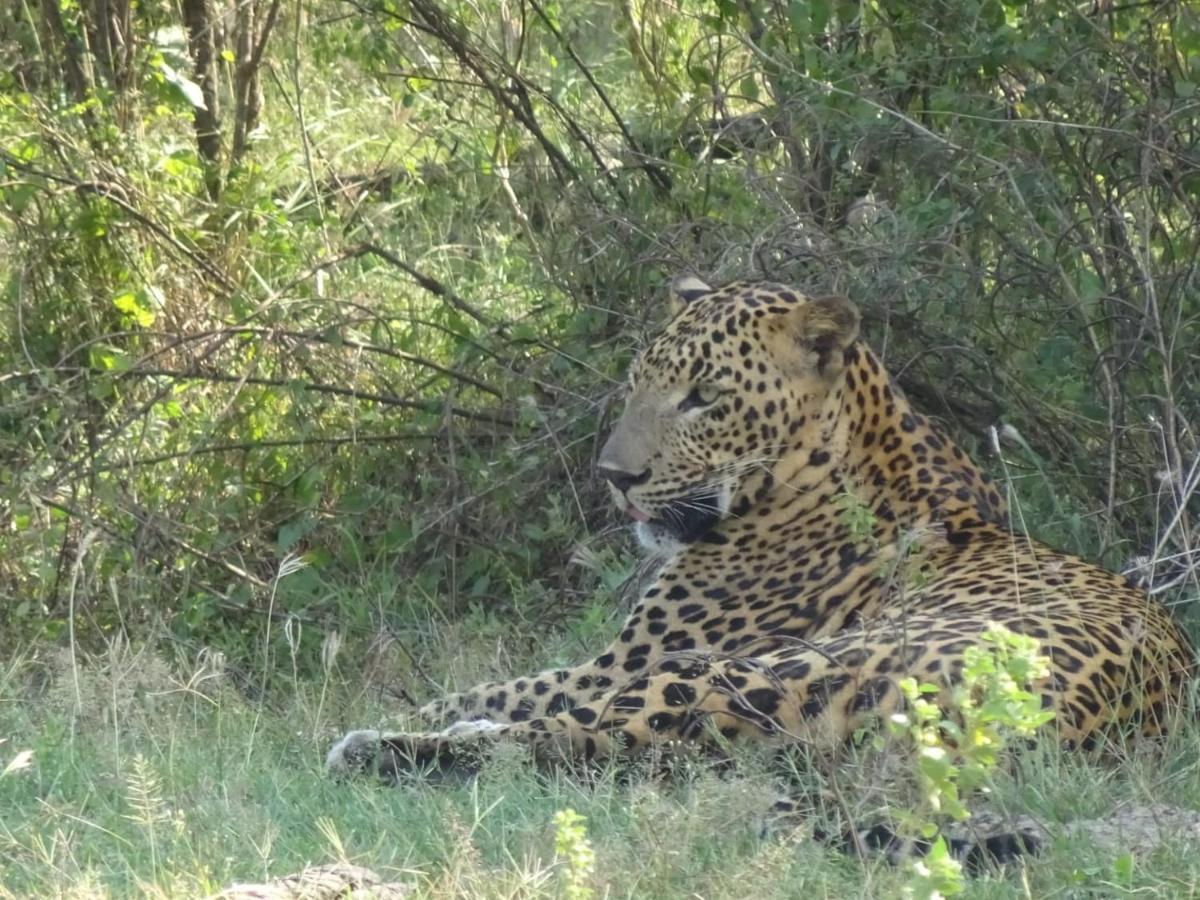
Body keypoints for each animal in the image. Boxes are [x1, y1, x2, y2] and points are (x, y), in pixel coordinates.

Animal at [324, 277, 1195, 801]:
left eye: (704, 397)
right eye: (639, 382)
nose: (613, 476)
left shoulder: (632, 656)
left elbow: (520, 687)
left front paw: (396, 712)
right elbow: (504, 683)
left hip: (738, 669)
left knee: (565, 735)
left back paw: (371, 749)